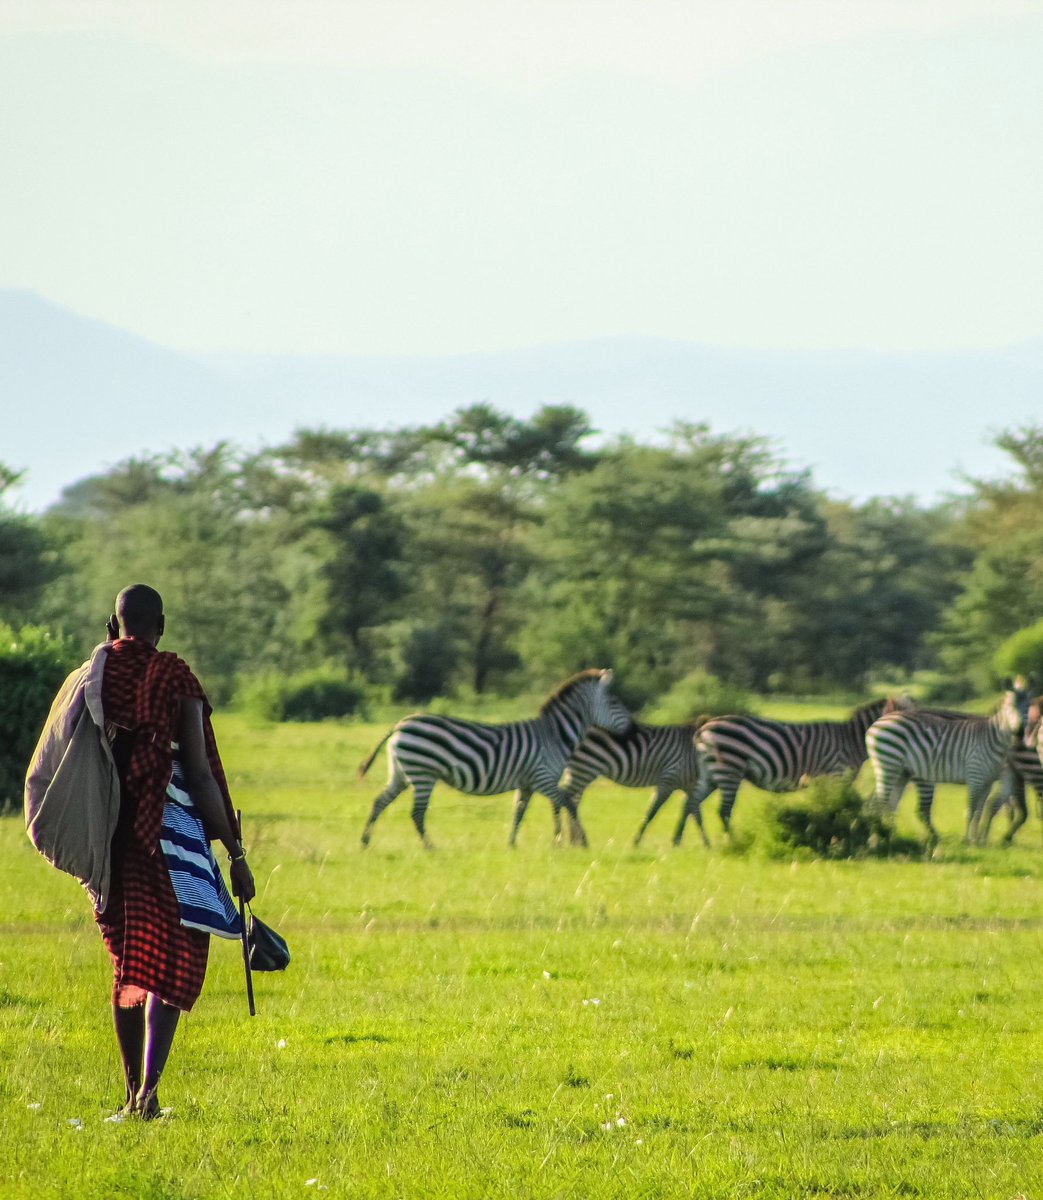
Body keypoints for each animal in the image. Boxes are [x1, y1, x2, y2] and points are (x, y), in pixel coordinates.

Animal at [357, 667, 633, 854]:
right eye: (614, 702)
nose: (631, 731)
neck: (554, 735)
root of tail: (400, 724)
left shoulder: (528, 782)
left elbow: (519, 812)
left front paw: (512, 843)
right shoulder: (543, 777)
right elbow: (567, 803)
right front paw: (579, 841)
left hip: (401, 773)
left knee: (379, 802)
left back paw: (365, 842)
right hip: (423, 773)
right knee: (416, 813)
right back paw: (430, 847)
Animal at [540, 715, 705, 849]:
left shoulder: (690, 786)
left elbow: (692, 812)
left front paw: (692, 842)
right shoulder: (670, 778)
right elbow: (653, 811)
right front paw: (637, 842)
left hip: (579, 770)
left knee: (571, 800)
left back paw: (575, 842)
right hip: (586, 766)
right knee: (564, 798)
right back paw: (562, 840)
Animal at [672, 696, 897, 844]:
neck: (850, 740)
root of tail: (703, 729)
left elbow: (828, 806)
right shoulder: (836, 773)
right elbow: (837, 807)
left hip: (710, 774)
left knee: (690, 803)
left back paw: (679, 840)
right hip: (729, 768)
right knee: (723, 811)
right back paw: (735, 842)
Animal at [864, 681, 1027, 849]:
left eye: (1027, 707)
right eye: (1011, 707)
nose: (1020, 732)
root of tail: (876, 724)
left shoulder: (989, 780)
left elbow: (982, 809)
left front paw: (978, 841)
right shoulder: (976, 775)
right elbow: (974, 809)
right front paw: (969, 841)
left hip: (900, 772)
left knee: (889, 805)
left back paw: (889, 836)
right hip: (890, 766)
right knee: (879, 804)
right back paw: (877, 839)